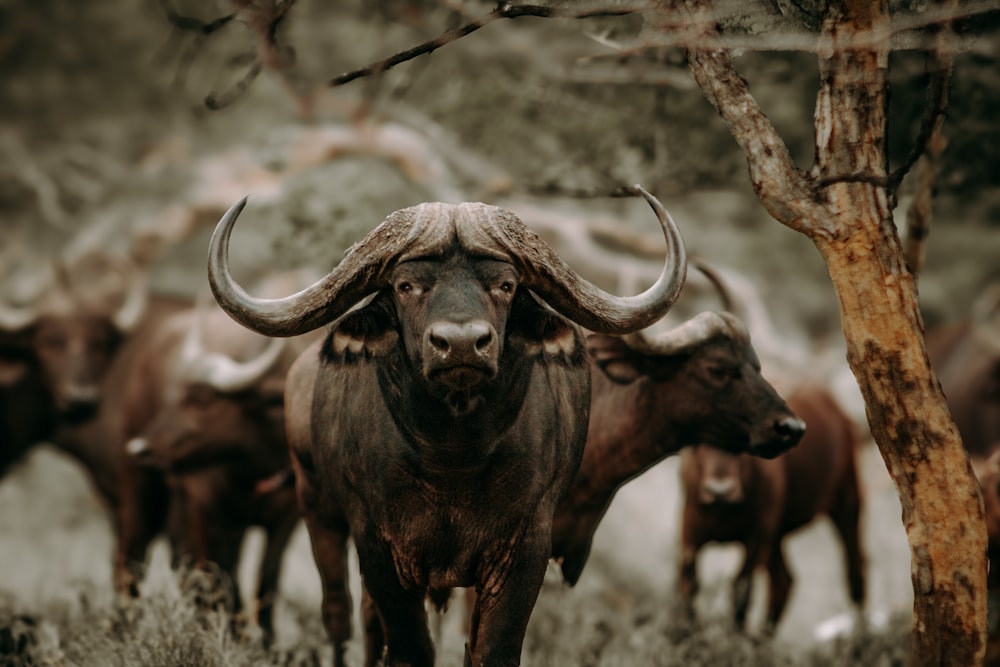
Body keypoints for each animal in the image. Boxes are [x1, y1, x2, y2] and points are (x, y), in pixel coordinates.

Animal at [680, 384, 868, 636]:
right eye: (696, 442)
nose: (720, 490)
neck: (724, 511)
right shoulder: (688, 533)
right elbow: (688, 587)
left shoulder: (757, 536)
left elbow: (741, 590)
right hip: (776, 536)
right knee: (784, 581)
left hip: (847, 501)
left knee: (854, 571)